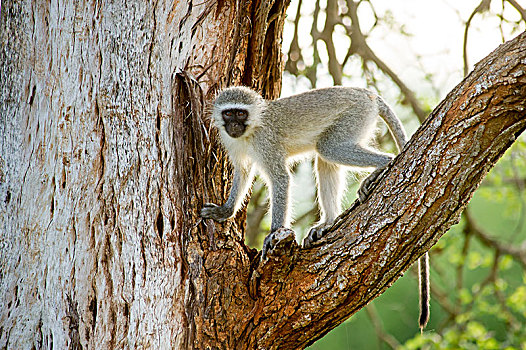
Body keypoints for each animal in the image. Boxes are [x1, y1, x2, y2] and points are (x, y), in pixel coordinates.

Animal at [200, 86, 432, 330]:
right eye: (228, 114)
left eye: (240, 113)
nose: (234, 125)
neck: (251, 129)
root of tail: (366, 93)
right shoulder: (233, 143)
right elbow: (243, 172)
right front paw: (224, 212)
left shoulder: (266, 143)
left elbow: (280, 179)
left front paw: (273, 234)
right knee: (325, 156)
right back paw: (328, 222)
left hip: (356, 115)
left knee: (329, 148)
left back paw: (384, 164)